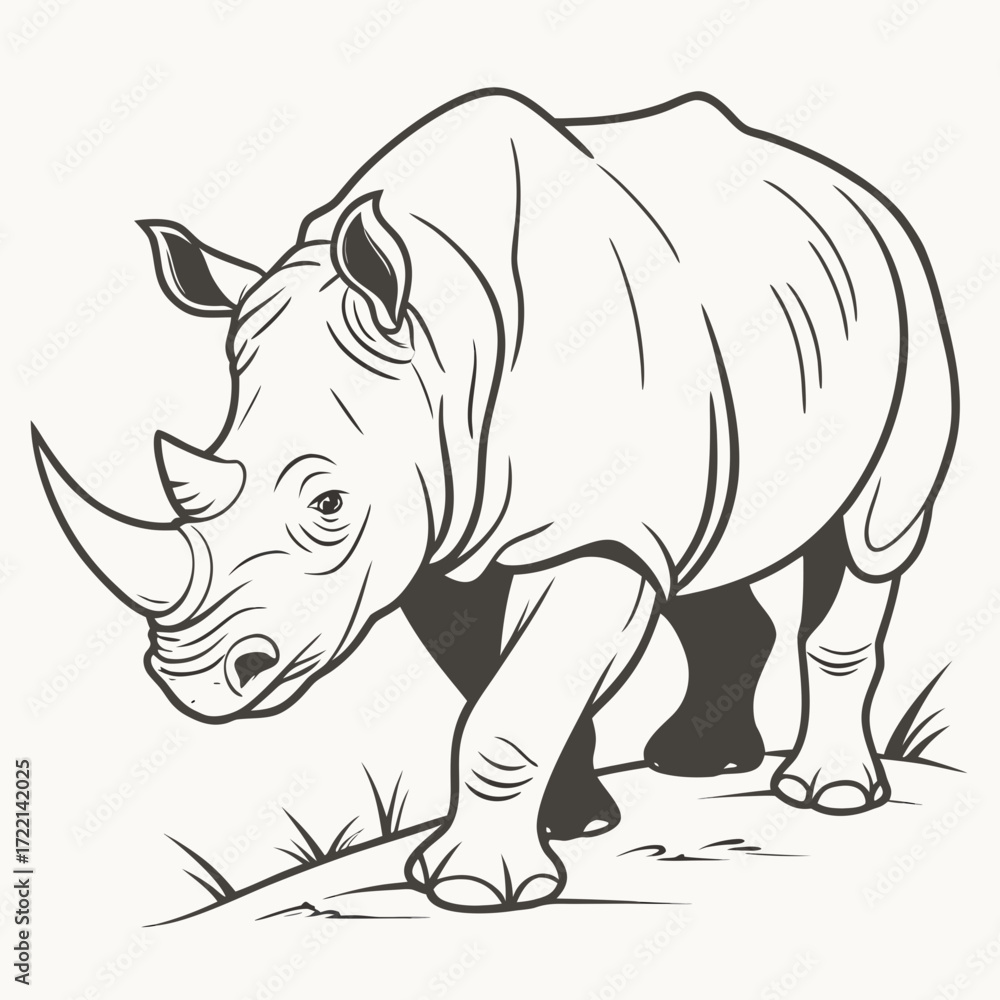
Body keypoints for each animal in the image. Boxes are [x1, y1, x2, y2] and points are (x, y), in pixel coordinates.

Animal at [34, 89, 958, 912]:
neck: (444, 338)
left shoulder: (595, 533)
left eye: (328, 504)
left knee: (873, 538)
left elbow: (512, 703)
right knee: (706, 559)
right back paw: (700, 766)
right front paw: (577, 822)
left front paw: (477, 890)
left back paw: (828, 794)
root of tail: (849, 184)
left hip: (912, 296)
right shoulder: (435, 531)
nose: (191, 684)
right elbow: (495, 681)